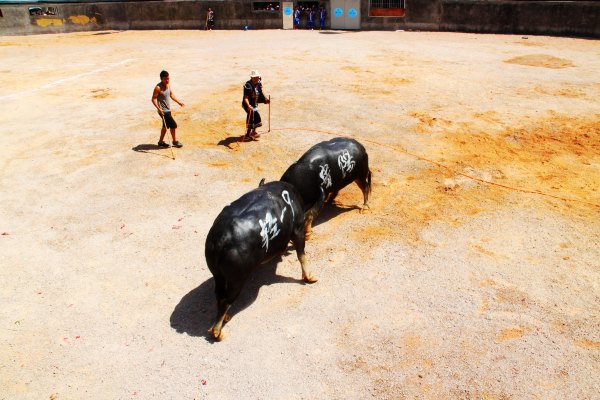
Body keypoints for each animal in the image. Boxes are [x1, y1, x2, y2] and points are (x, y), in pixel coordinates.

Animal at [205, 181, 324, 340]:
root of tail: (221, 239)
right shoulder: (298, 229)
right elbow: (301, 255)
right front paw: (310, 277)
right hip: (237, 280)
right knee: (226, 300)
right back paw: (218, 332)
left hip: (218, 275)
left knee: (219, 295)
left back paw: (225, 318)